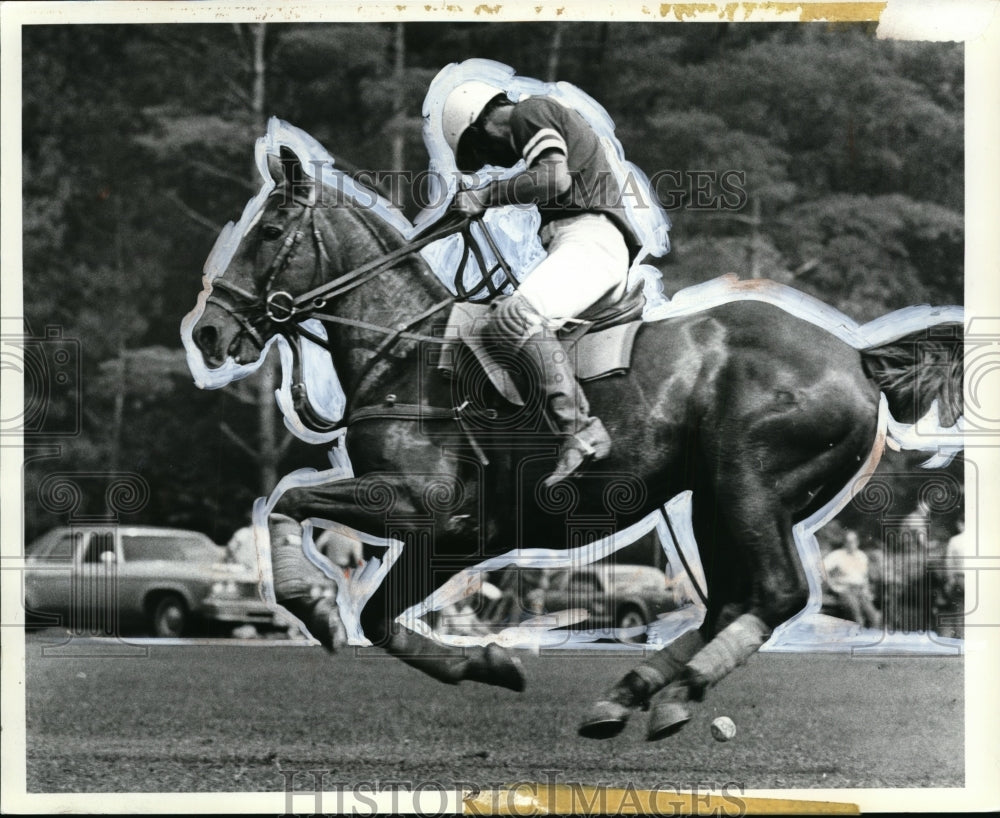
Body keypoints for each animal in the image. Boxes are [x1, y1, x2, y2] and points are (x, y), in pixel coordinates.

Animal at [184, 132, 964, 740]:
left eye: (269, 231)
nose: (209, 333)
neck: (405, 352)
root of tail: (857, 356)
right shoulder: (460, 536)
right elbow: (375, 614)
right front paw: (490, 662)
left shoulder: (427, 505)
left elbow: (288, 503)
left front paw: (312, 607)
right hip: (717, 499)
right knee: (728, 602)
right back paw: (631, 696)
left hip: (750, 484)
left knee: (774, 595)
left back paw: (674, 692)